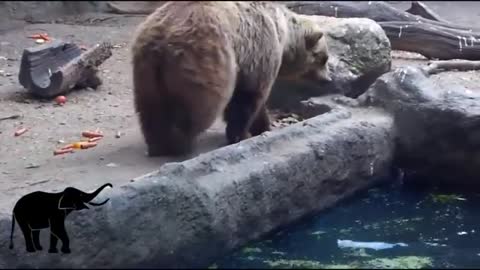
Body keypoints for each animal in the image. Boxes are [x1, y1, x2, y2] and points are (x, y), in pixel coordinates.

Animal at [133, 1, 332, 156]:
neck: (284, 34)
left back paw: (158, 144)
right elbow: (248, 97)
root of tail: (162, 39)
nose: (328, 80)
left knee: (151, 107)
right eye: (323, 58)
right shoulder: (259, 50)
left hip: (146, 69)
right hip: (203, 58)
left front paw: (263, 126)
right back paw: (180, 143)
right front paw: (243, 134)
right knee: (198, 107)